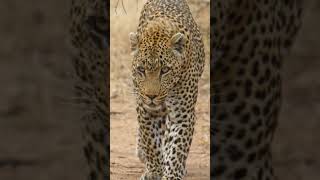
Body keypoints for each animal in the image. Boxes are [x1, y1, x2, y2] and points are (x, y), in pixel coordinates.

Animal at [129, 0, 205, 180]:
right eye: (141, 70)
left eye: (165, 70)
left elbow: (177, 148)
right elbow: (151, 142)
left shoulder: (183, 114)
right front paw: (154, 171)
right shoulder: (146, 110)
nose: (151, 96)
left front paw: (171, 174)